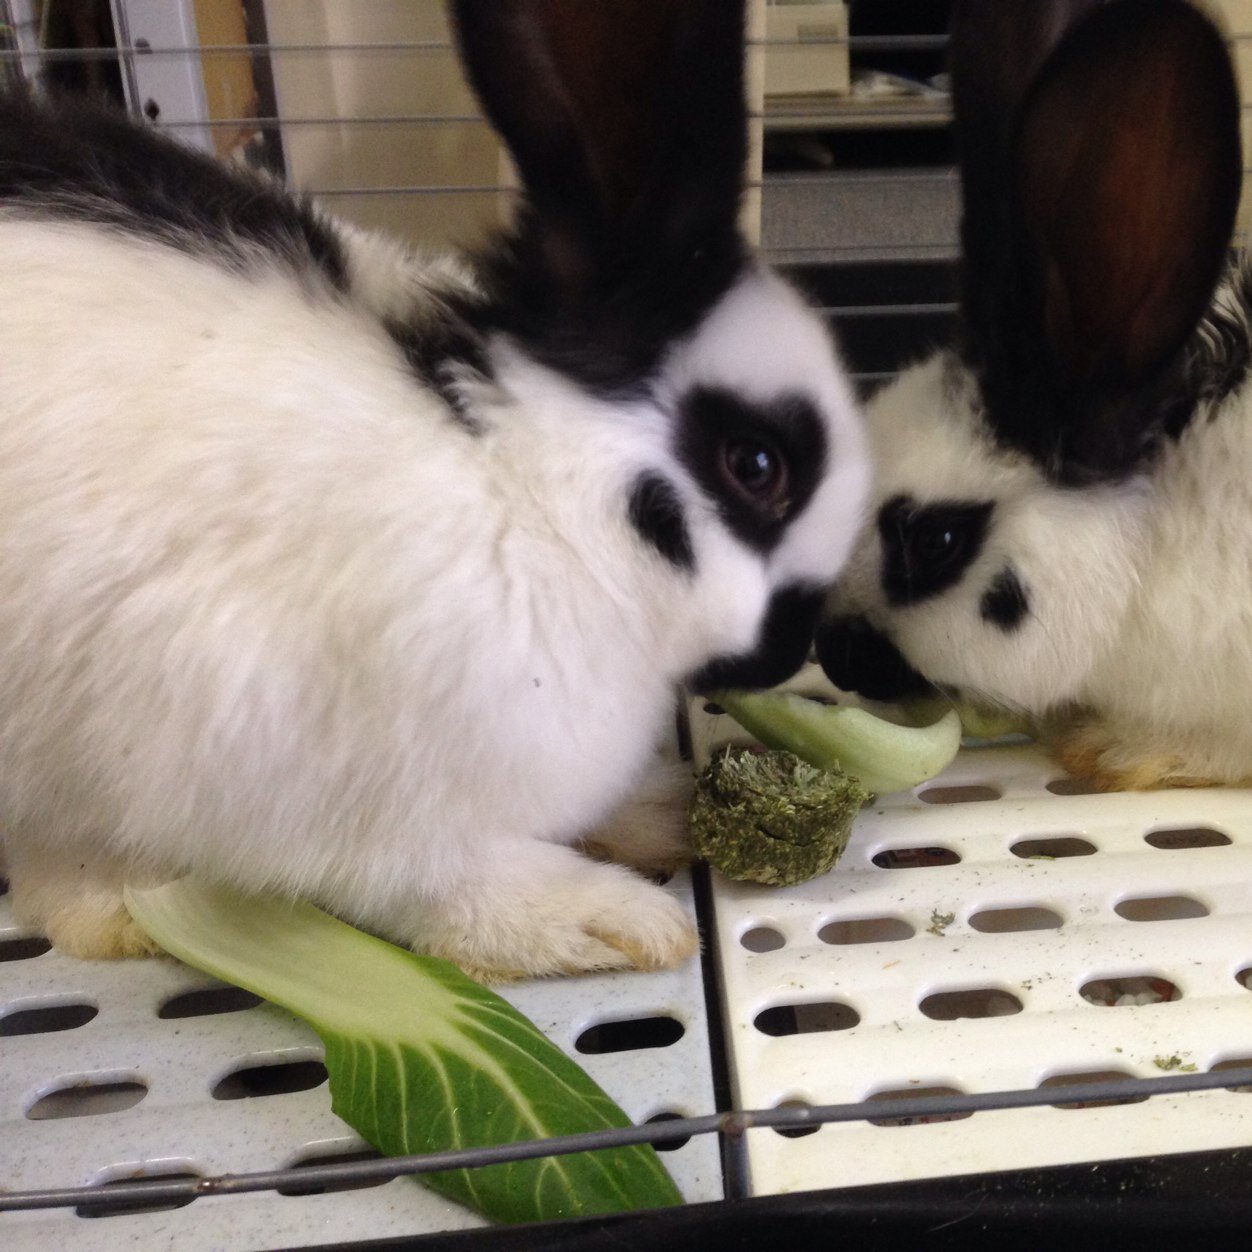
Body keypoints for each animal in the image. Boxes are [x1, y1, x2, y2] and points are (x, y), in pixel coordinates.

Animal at [0, 0, 871, 976]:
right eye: (756, 465)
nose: (789, 654)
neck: (526, 492)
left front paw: (659, 813)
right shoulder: (334, 801)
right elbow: (444, 887)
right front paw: (611, 923)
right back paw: (114, 912)